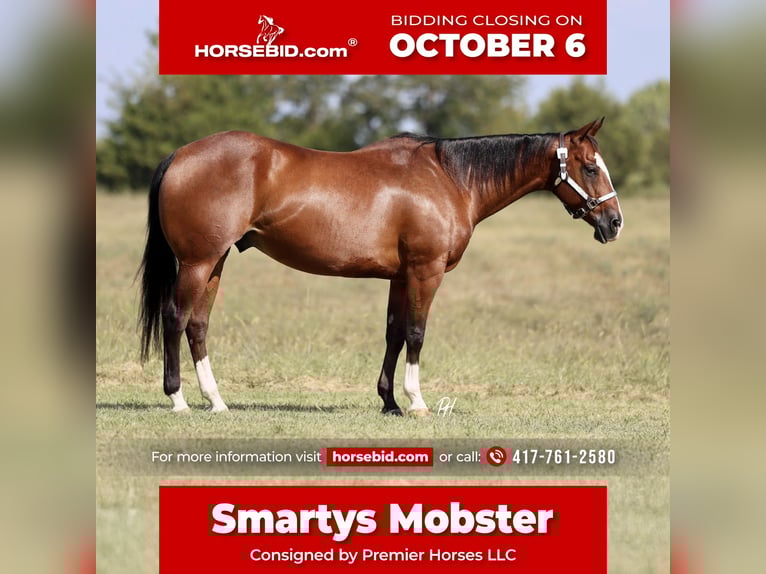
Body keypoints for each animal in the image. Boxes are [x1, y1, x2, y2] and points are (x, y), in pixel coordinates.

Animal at [138, 118, 623, 415]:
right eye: (589, 167)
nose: (614, 223)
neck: (449, 179)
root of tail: (180, 155)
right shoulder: (425, 271)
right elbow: (416, 333)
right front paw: (417, 401)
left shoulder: (399, 276)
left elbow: (393, 333)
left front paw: (389, 402)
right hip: (197, 262)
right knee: (175, 319)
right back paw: (178, 399)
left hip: (215, 262)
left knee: (198, 325)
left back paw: (216, 400)